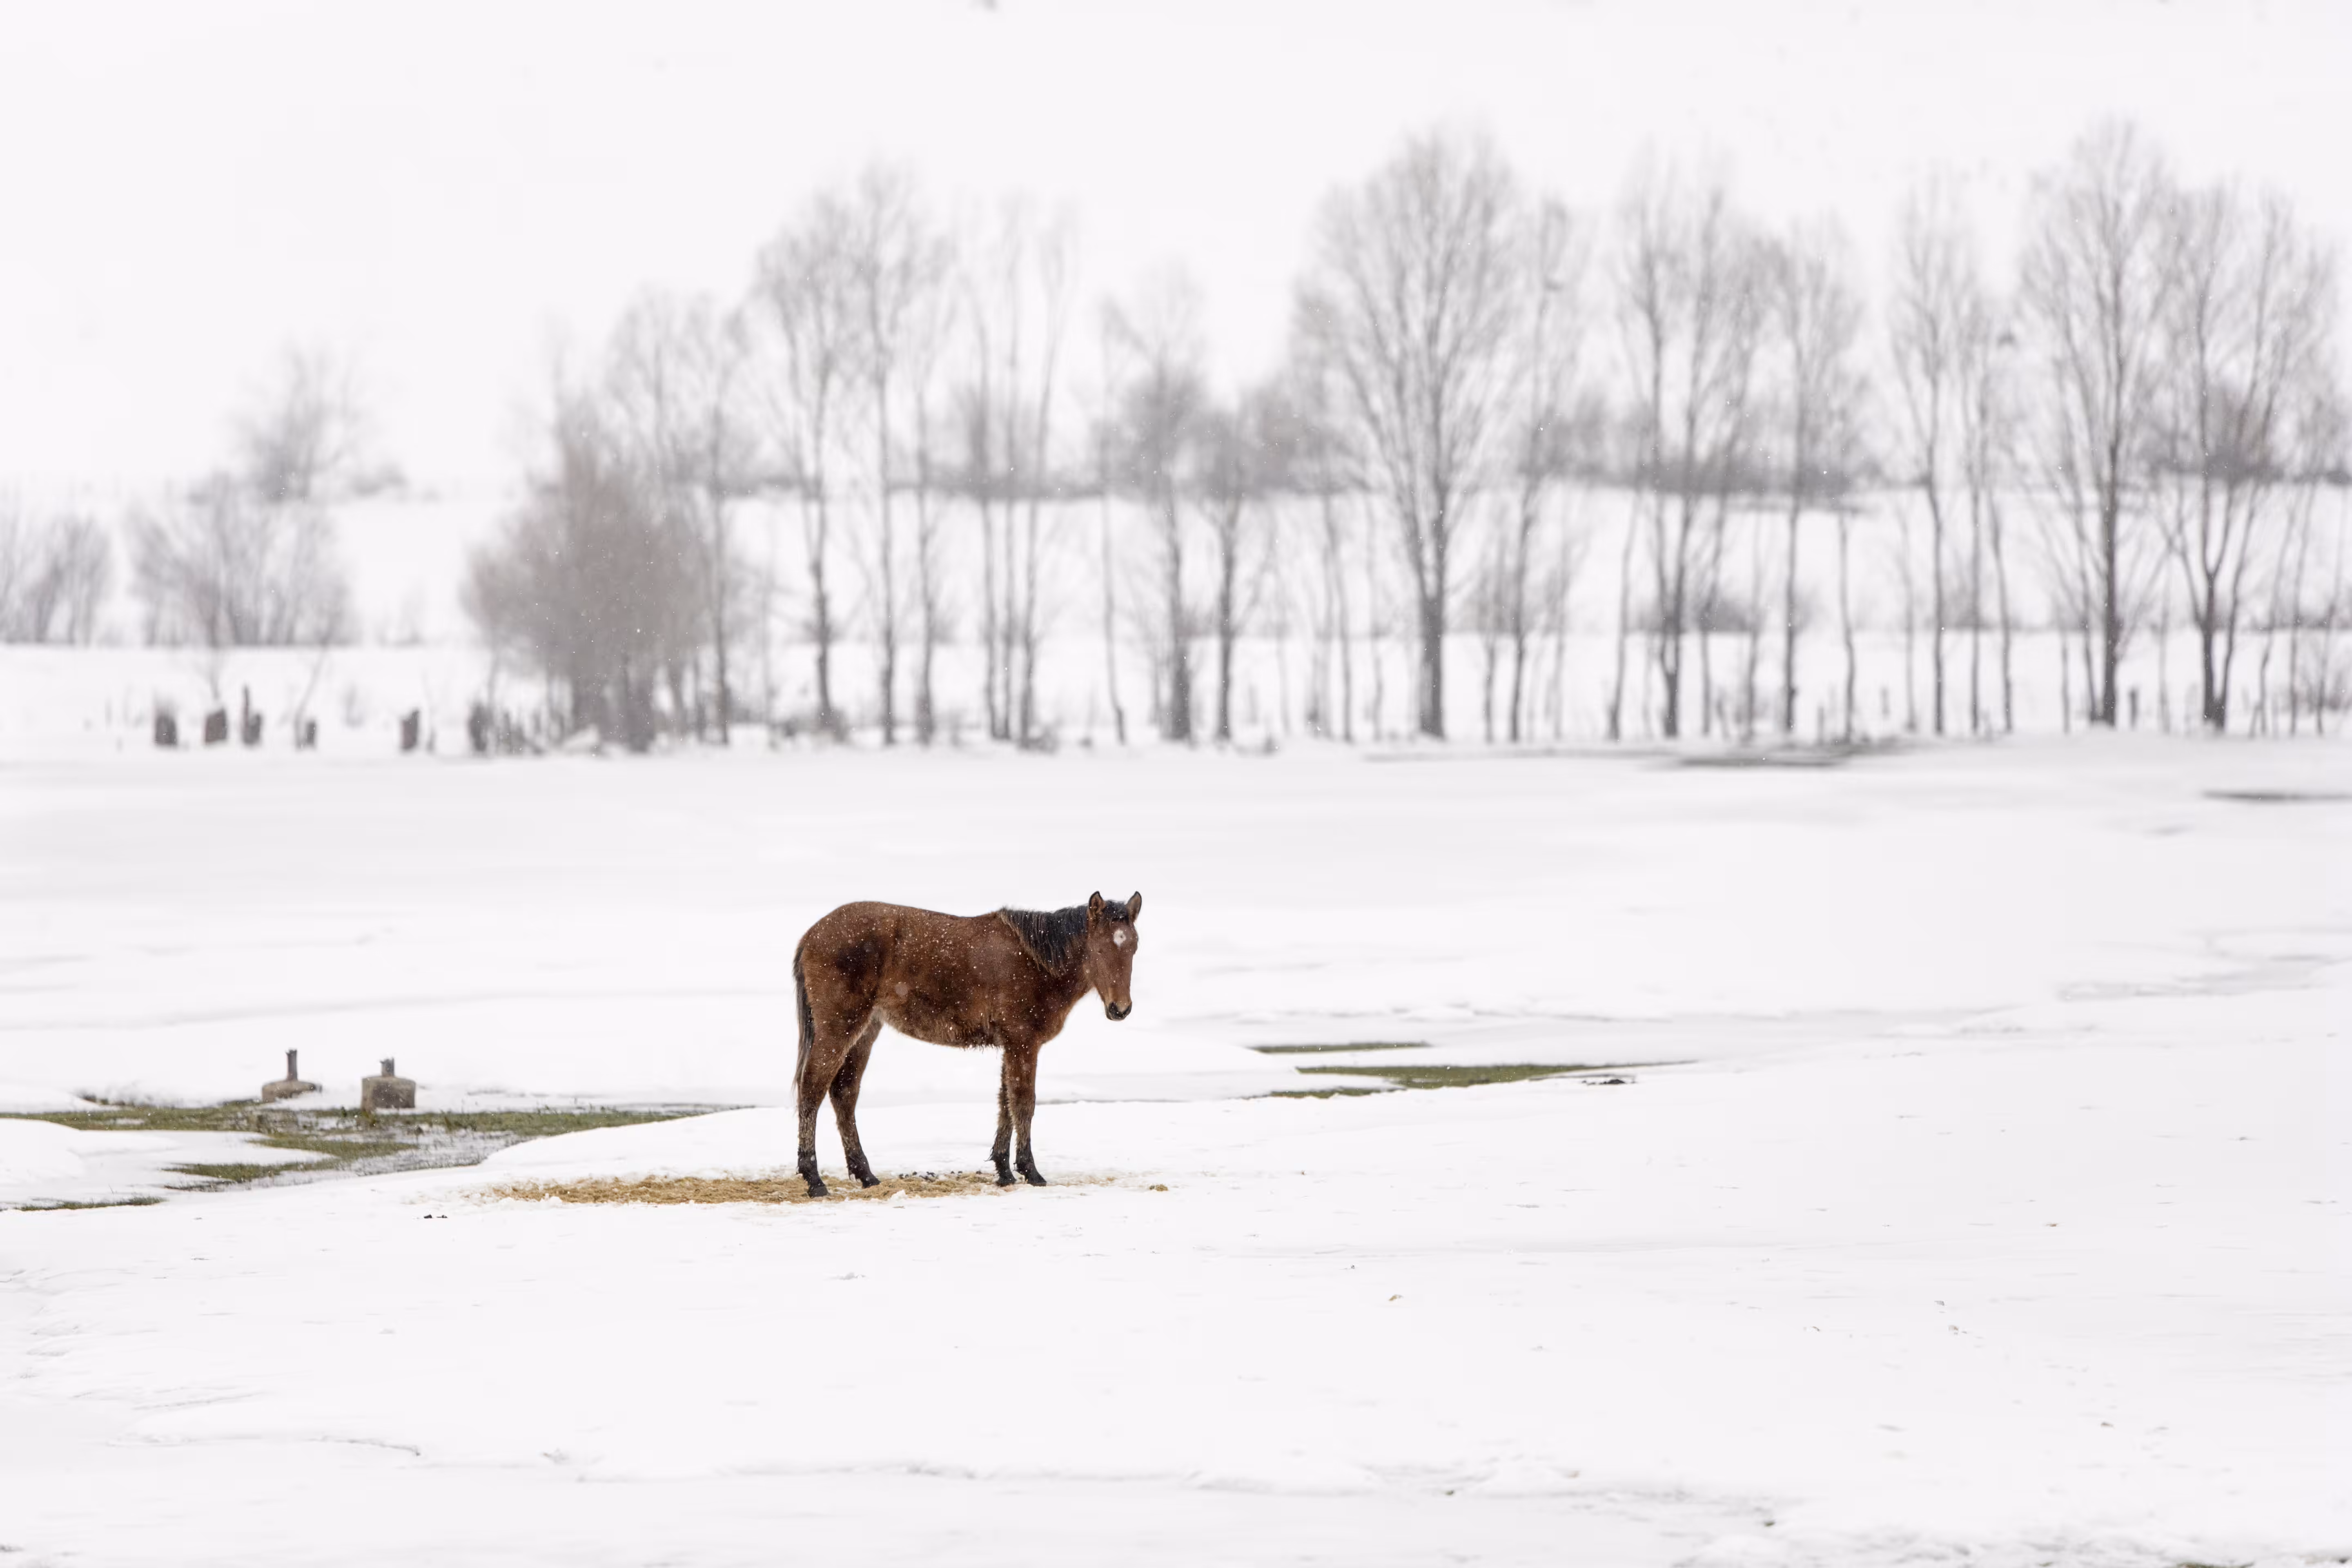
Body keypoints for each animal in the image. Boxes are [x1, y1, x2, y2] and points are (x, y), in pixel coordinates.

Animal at [790, 890, 1143, 1196]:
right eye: (1099, 948)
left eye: (1134, 947)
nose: (1121, 1009)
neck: (1037, 962)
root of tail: (812, 935)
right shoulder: (1024, 1043)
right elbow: (1023, 1103)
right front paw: (1031, 1172)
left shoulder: (1011, 1045)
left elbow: (1005, 1103)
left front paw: (1004, 1172)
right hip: (839, 1028)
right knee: (812, 1090)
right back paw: (814, 1180)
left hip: (865, 1032)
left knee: (844, 1094)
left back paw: (866, 1175)